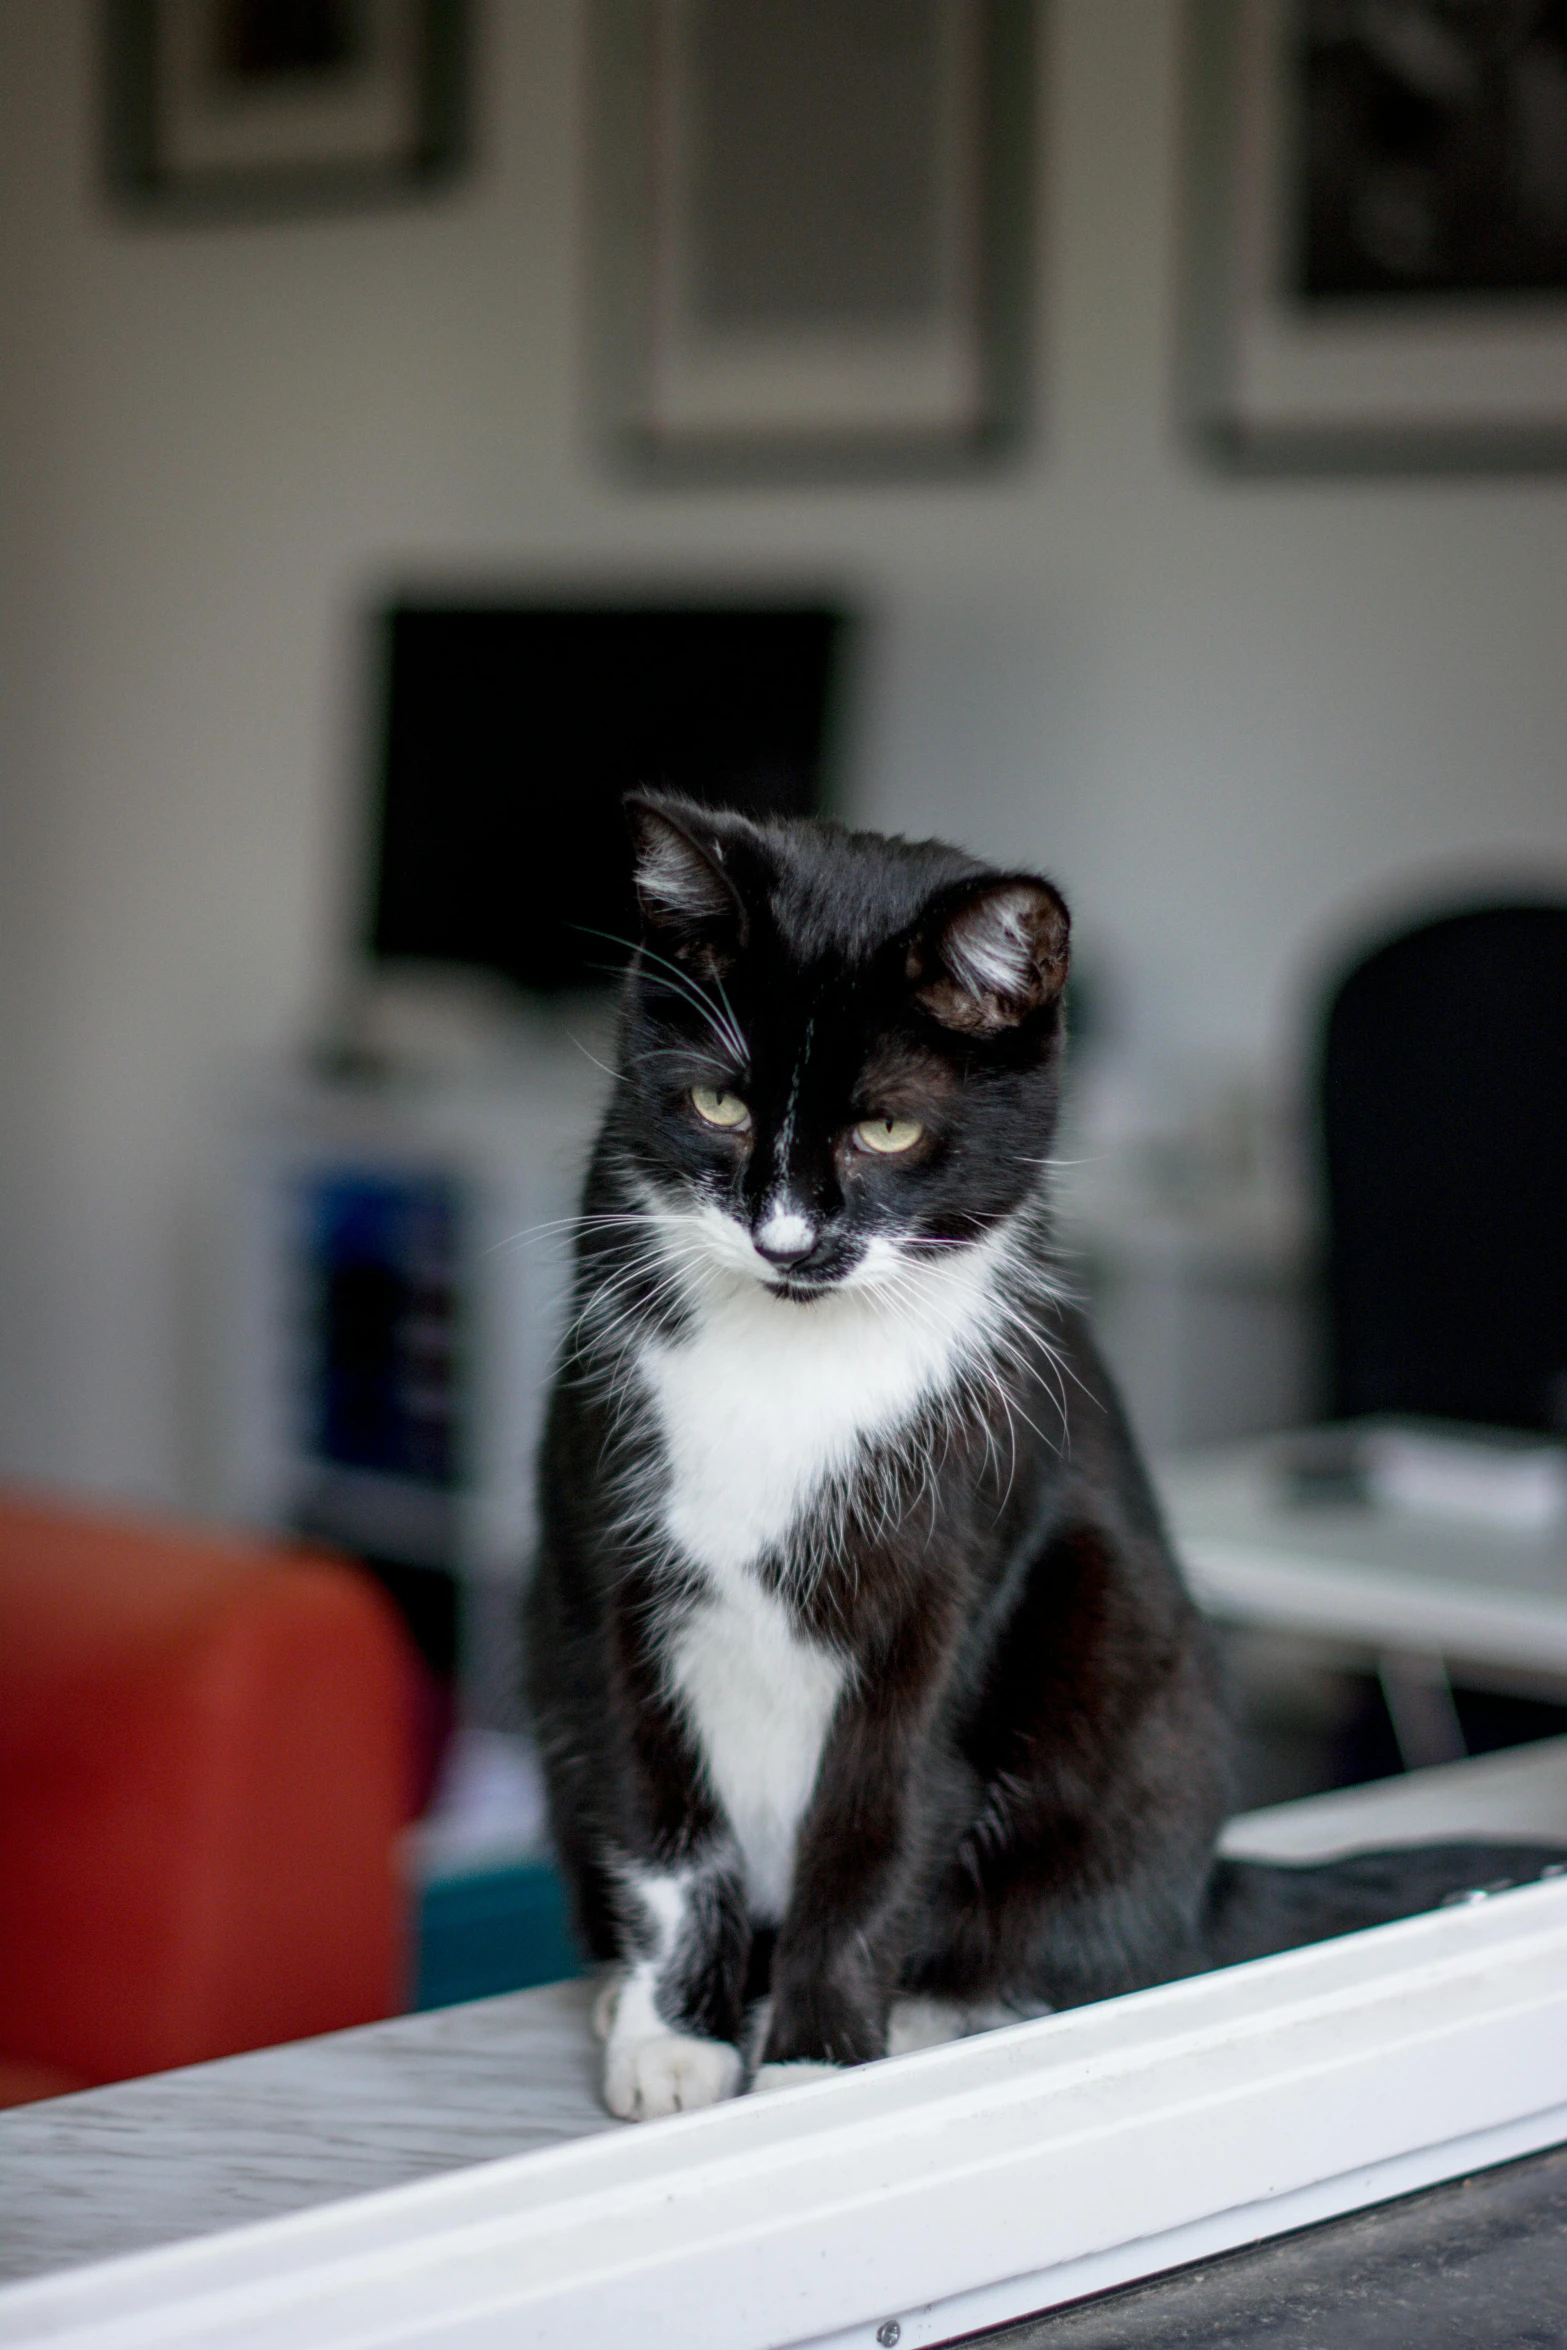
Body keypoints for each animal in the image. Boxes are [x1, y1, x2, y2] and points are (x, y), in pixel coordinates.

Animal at [530, 798, 1567, 2124]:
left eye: (887, 1126)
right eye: (717, 1104)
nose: (786, 1239)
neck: (796, 1365)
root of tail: (1210, 1878)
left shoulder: (948, 1576)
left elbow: (876, 1822)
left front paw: (816, 2069)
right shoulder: (611, 1565)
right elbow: (664, 1823)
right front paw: (674, 2038)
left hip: (1127, 1687)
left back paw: (931, 2014)